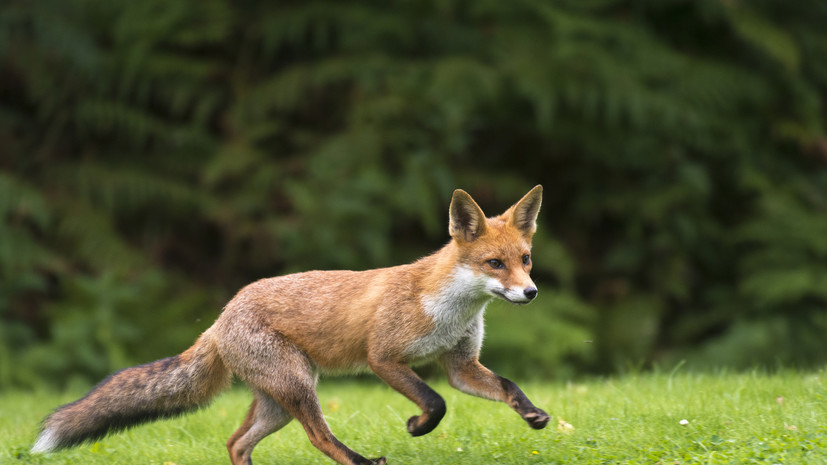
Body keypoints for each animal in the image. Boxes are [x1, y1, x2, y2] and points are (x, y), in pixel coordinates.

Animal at [32, 185, 548, 464]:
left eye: (525, 259)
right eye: (495, 263)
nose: (531, 293)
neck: (448, 308)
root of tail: (221, 317)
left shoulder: (461, 365)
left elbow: (506, 386)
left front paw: (533, 414)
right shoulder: (383, 358)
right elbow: (436, 402)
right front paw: (417, 426)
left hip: (277, 402)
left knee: (236, 443)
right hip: (299, 388)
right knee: (319, 437)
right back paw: (362, 461)